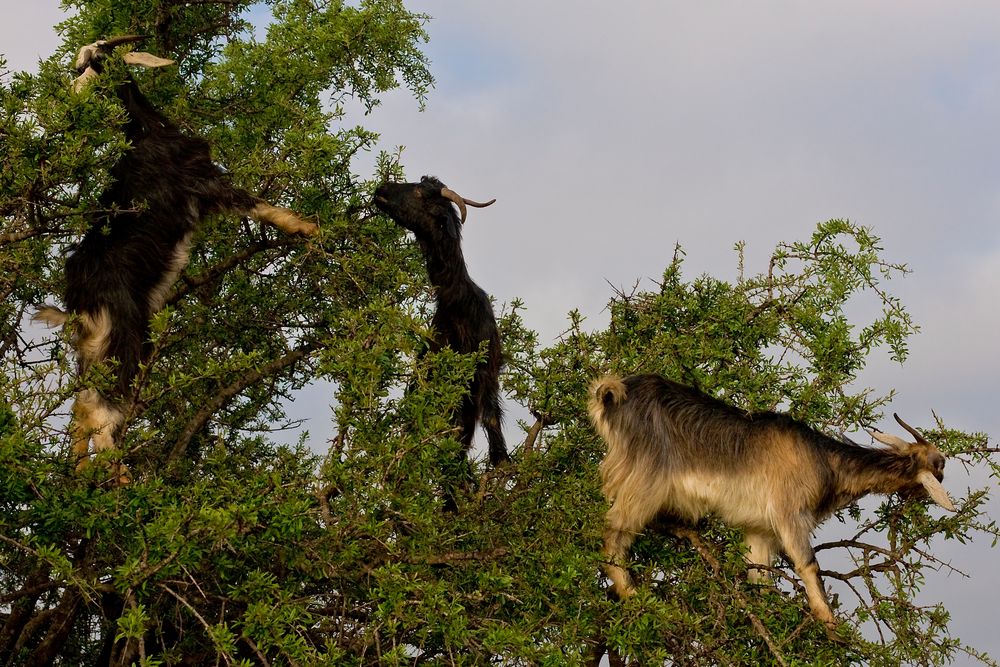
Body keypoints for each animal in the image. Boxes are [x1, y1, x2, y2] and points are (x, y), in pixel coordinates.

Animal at [37, 37, 316, 486]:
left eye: (91, 63)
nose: (70, 95)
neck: (147, 132)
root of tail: (78, 301)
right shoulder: (205, 182)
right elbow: (261, 206)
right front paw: (312, 229)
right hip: (126, 339)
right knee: (102, 413)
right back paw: (124, 484)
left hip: (92, 349)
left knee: (82, 408)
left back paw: (81, 477)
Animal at [376, 177, 512, 468]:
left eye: (420, 193)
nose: (381, 188)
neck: (458, 306)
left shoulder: (486, 371)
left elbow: (490, 417)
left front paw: (502, 461)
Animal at [588, 374, 956, 636]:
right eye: (936, 464)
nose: (944, 462)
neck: (824, 460)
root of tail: (612, 394)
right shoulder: (789, 512)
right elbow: (809, 564)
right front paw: (831, 626)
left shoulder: (759, 530)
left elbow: (760, 579)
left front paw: (768, 622)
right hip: (644, 480)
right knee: (612, 531)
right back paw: (633, 594)